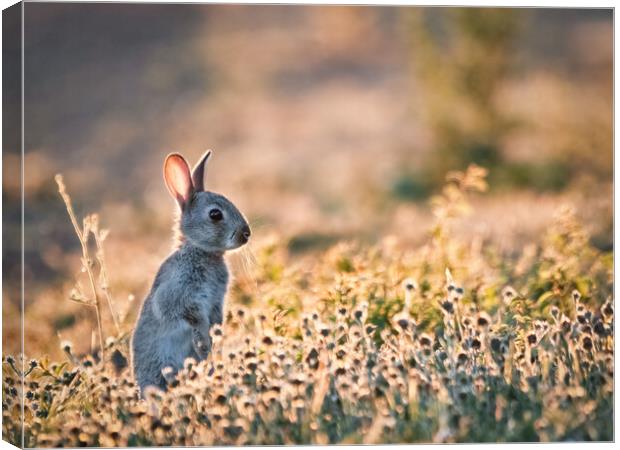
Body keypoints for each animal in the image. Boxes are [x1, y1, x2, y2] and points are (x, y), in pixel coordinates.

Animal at [130, 150, 249, 394]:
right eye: (215, 215)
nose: (247, 233)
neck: (200, 250)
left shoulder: (216, 303)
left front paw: (214, 341)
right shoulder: (181, 299)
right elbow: (192, 321)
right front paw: (204, 346)